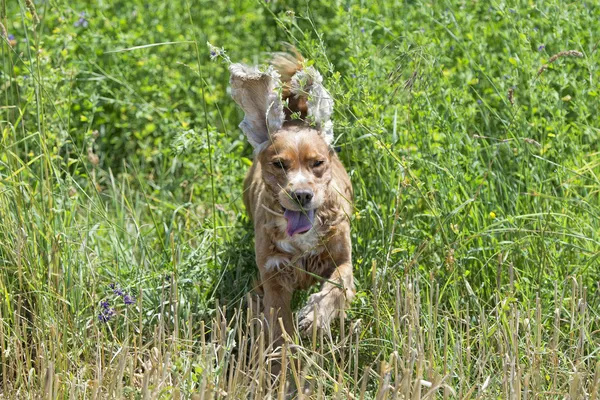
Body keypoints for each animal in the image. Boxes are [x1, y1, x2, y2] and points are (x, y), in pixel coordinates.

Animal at [229, 50, 352, 350]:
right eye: (279, 164)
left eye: (317, 163)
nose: (302, 195)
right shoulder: (273, 273)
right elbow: (278, 319)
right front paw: (281, 354)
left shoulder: (343, 259)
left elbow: (338, 286)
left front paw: (314, 317)